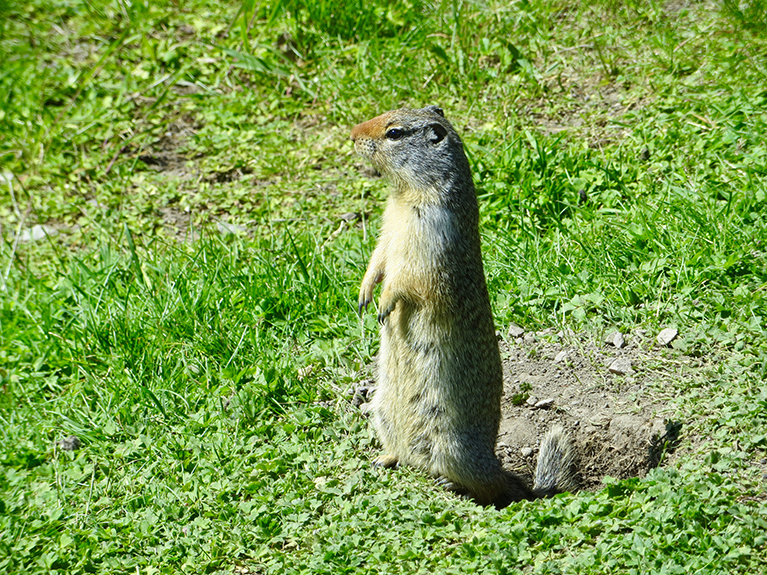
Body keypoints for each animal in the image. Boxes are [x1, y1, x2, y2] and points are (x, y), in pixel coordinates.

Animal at [350, 104, 576, 508]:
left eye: (394, 132)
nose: (352, 135)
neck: (406, 195)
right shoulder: (388, 228)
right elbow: (379, 259)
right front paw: (364, 292)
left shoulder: (431, 236)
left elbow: (407, 278)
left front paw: (384, 304)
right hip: (382, 411)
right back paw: (385, 457)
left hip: (452, 445)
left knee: (488, 488)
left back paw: (453, 485)